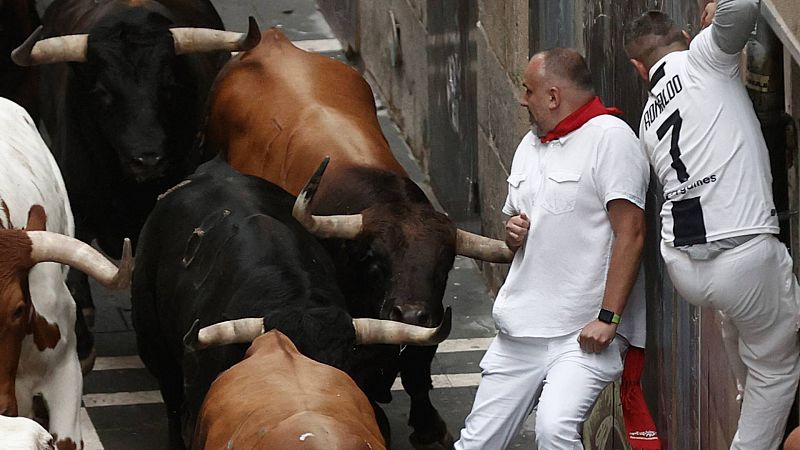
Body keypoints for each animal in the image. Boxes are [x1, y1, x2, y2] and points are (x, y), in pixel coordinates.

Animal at [202, 29, 512, 450]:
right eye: (375, 261)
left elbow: (417, 367)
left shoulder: (428, 318)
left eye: (445, 265)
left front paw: (429, 426)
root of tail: (270, 40)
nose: (409, 315)